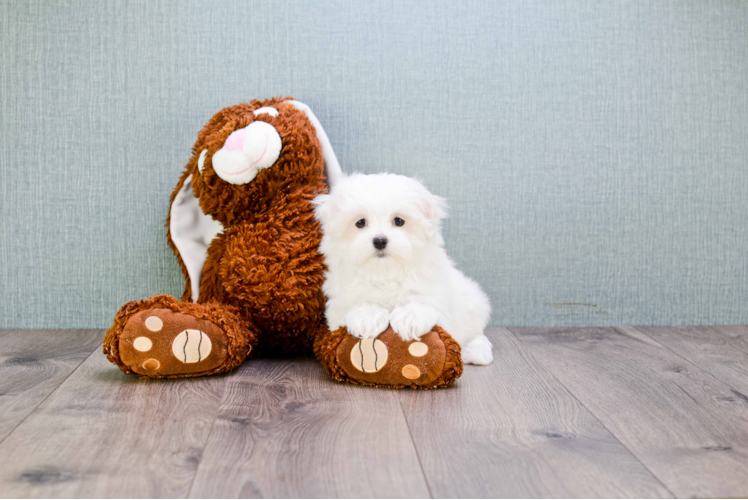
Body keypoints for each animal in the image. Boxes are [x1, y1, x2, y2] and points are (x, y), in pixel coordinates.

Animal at [312, 174, 494, 366]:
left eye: (399, 221)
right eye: (360, 223)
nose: (380, 240)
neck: (385, 272)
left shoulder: (437, 295)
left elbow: (424, 301)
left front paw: (409, 317)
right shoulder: (338, 306)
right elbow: (356, 303)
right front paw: (368, 316)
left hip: (473, 305)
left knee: (476, 333)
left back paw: (475, 351)